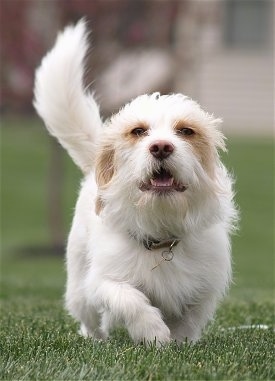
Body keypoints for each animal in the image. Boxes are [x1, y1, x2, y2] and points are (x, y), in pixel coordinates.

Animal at [33, 20, 238, 346]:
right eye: (138, 131)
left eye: (186, 131)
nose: (161, 147)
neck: (161, 231)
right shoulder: (104, 280)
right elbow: (129, 299)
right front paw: (153, 333)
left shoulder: (202, 287)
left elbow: (189, 320)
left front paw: (178, 342)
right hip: (79, 285)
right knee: (89, 318)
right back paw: (96, 339)